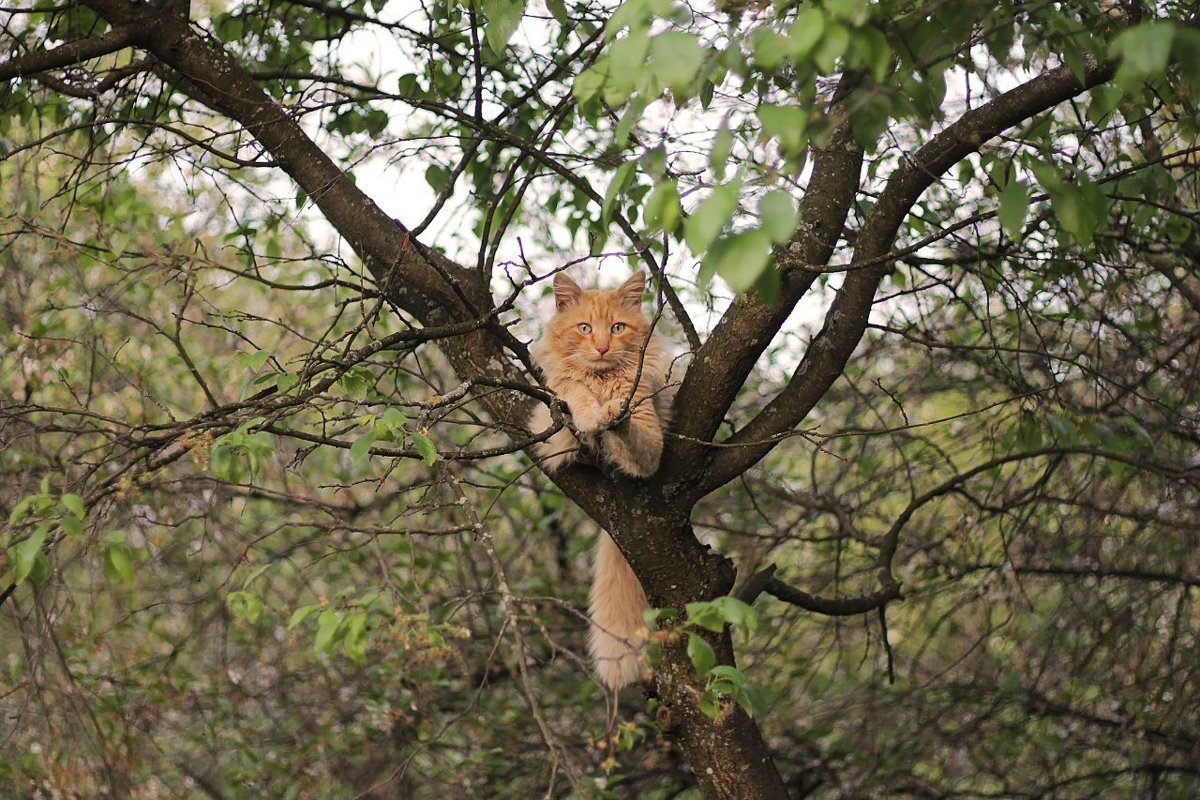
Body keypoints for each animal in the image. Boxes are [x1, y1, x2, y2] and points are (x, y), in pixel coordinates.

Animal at [528, 272, 672, 690]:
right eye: (585, 328)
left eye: (618, 328)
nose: (603, 347)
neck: (602, 379)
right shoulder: (550, 430)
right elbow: (574, 392)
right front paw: (593, 415)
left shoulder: (650, 442)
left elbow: (631, 427)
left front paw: (613, 413)